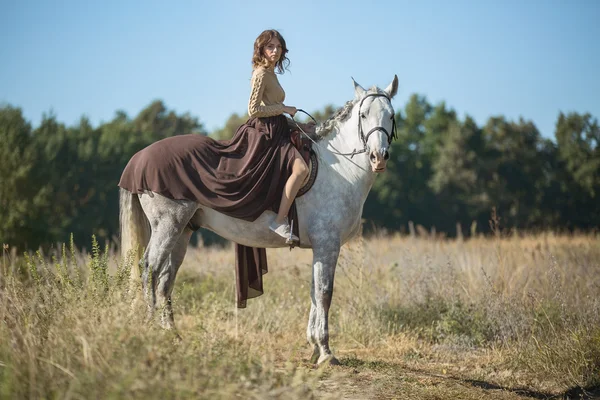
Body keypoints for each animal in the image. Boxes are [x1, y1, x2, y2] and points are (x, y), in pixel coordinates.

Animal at [118, 76, 398, 366]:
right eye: (364, 115)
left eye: (391, 115)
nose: (378, 157)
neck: (339, 168)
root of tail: (138, 159)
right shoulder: (328, 244)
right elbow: (324, 292)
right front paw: (325, 352)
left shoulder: (320, 248)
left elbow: (314, 291)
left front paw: (313, 348)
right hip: (167, 226)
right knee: (149, 268)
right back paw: (151, 331)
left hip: (182, 232)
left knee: (165, 278)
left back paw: (172, 336)